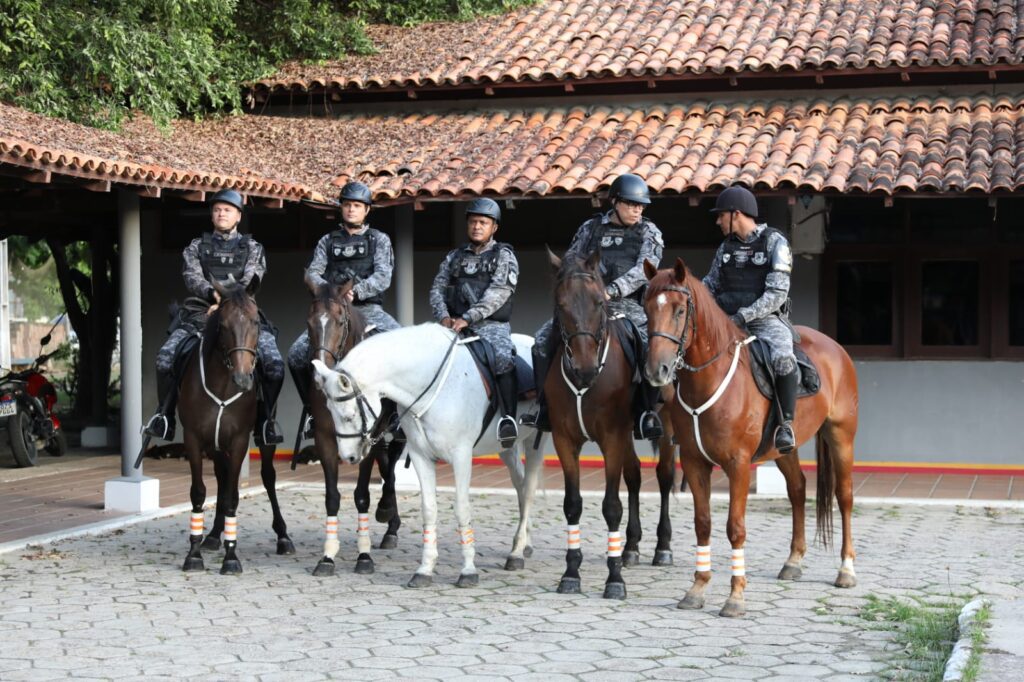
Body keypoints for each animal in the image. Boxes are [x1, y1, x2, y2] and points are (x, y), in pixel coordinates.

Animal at [177, 276, 292, 573]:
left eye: (255, 322)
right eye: (224, 325)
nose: (243, 379)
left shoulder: (239, 439)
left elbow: (232, 496)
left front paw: (231, 557)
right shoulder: (193, 438)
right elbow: (199, 492)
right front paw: (194, 553)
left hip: (262, 439)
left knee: (268, 477)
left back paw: (283, 536)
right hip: (215, 444)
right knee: (222, 475)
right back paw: (214, 535)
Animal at [294, 274, 401, 577]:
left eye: (340, 321)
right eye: (308, 321)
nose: (318, 369)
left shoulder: (368, 438)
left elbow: (362, 495)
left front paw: (364, 556)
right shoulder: (325, 440)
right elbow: (332, 497)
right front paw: (327, 557)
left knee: (392, 465)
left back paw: (388, 516)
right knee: (387, 463)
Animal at [311, 323, 548, 585]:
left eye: (349, 415)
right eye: (329, 410)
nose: (349, 457)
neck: (432, 384)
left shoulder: (461, 456)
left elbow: (462, 508)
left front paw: (468, 570)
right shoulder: (420, 456)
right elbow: (429, 508)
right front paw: (424, 569)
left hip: (535, 442)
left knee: (528, 490)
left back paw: (517, 553)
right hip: (507, 447)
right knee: (520, 486)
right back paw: (524, 544)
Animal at [544, 246, 679, 598]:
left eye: (598, 302)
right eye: (560, 305)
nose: (585, 367)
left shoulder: (612, 438)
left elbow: (611, 507)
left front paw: (614, 579)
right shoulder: (565, 440)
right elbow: (573, 504)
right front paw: (571, 573)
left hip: (668, 424)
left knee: (664, 477)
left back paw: (662, 547)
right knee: (634, 476)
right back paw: (630, 546)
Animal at [647, 256, 856, 614]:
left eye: (679, 310)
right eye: (646, 307)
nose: (656, 370)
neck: (711, 380)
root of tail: (835, 348)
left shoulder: (738, 464)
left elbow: (735, 527)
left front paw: (735, 597)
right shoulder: (693, 462)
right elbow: (703, 523)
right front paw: (697, 588)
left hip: (841, 436)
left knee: (844, 497)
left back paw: (846, 569)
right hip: (785, 448)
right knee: (797, 489)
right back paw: (793, 561)